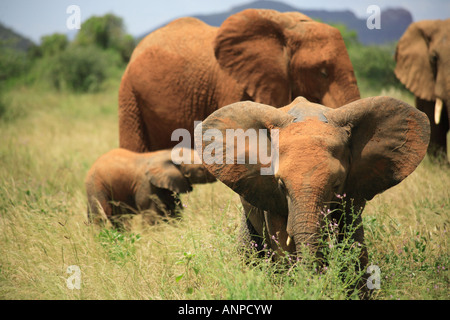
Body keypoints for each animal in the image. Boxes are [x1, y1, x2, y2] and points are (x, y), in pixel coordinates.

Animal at [86, 149, 218, 229]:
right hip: (96, 186)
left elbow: (175, 211)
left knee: (119, 220)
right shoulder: (147, 186)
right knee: (99, 217)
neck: (168, 153)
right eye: (202, 169)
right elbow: (151, 216)